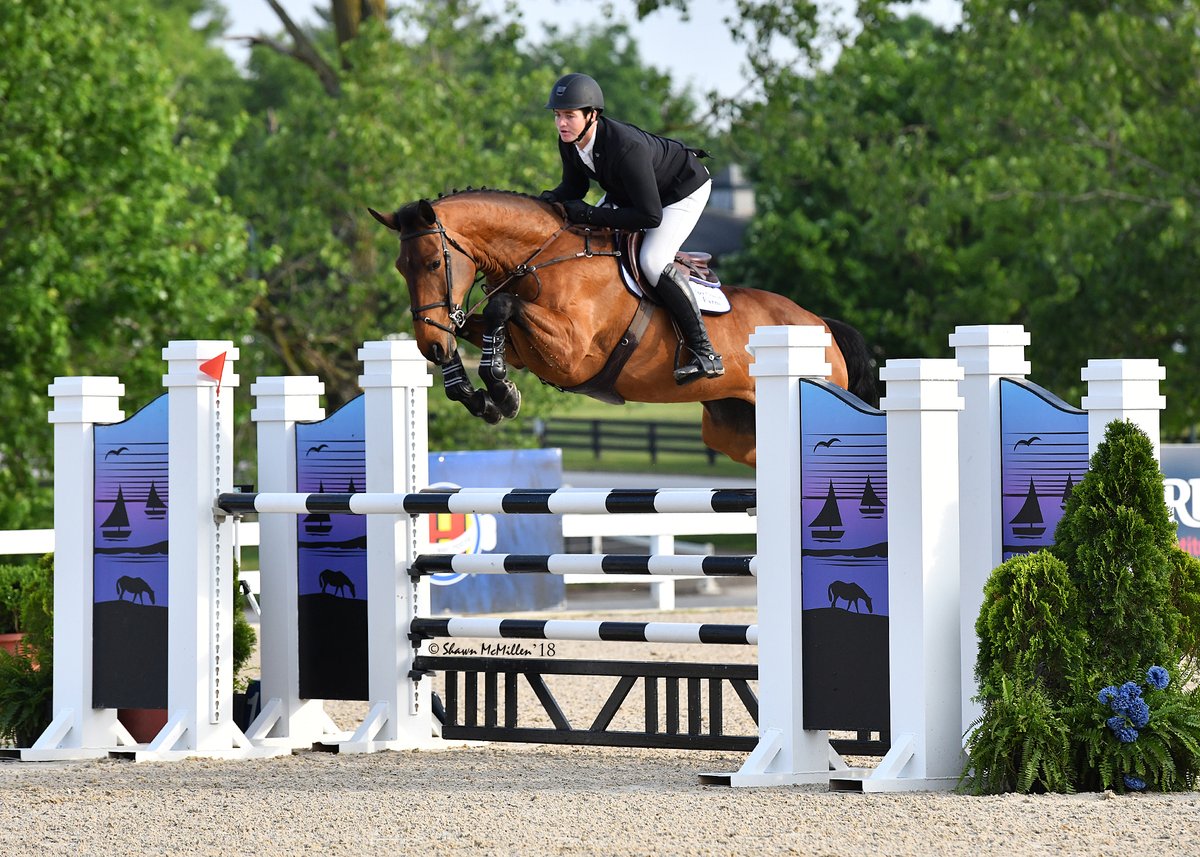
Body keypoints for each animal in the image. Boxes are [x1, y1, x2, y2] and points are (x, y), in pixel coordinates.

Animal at [368, 189, 876, 467]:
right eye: (400, 267)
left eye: (434, 263)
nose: (428, 345)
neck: (543, 257)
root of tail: (821, 326)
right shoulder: (526, 348)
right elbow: (479, 326)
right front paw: (477, 395)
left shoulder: (573, 353)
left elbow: (501, 308)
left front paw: (502, 393)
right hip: (733, 431)